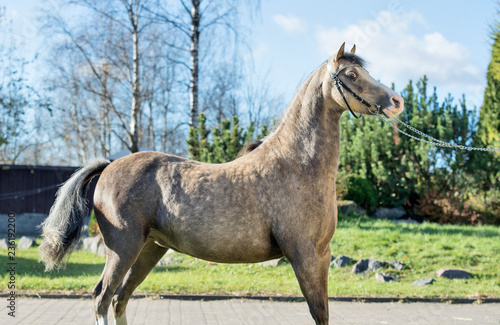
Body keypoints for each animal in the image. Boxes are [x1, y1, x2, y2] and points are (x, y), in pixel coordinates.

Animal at [41, 43, 404, 324]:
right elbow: (317, 311)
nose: (397, 102)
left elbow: (324, 312)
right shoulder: (301, 253)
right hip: (123, 249)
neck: (296, 164)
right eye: (351, 75)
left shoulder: (323, 256)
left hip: (149, 250)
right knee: (102, 297)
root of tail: (109, 166)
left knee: (119, 299)